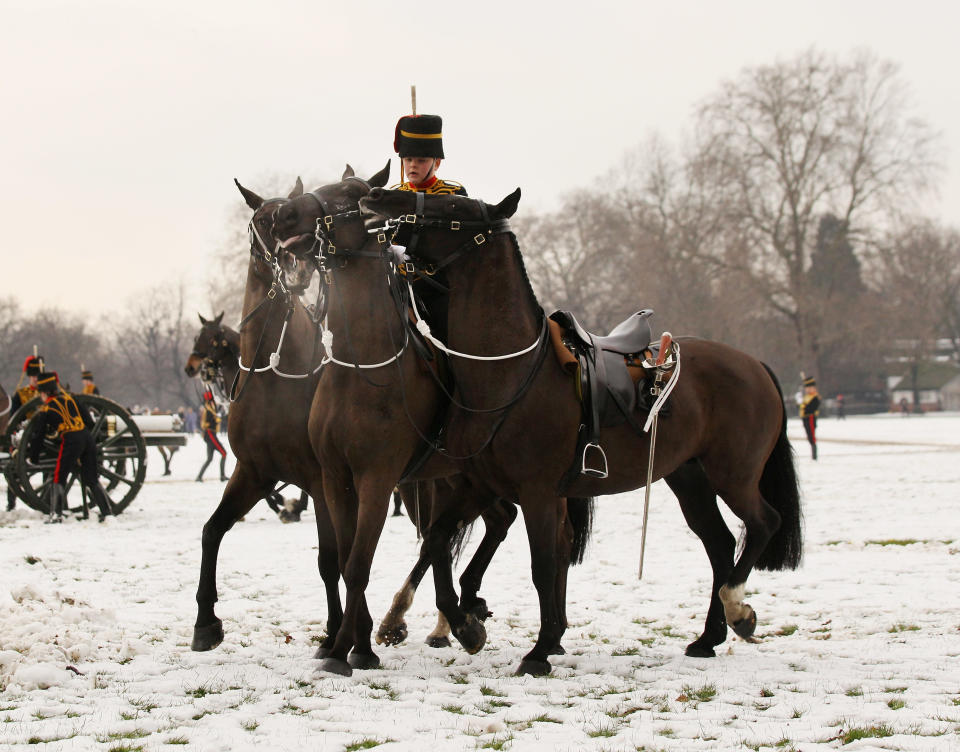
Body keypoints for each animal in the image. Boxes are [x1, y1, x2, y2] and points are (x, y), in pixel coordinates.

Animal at [270, 167, 592, 680]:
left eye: (349, 196)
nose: (283, 213)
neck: (361, 367)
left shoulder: (377, 479)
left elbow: (358, 563)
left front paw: (348, 651)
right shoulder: (336, 478)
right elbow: (346, 560)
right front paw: (354, 642)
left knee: (540, 538)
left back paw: (526, 631)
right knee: (483, 530)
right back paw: (465, 617)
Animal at [360, 187, 804, 676]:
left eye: (453, 209)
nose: (379, 195)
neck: (508, 370)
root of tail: (753, 363)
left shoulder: (537, 492)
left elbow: (541, 565)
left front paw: (538, 649)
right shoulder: (478, 486)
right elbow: (440, 540)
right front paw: (466, 623)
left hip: (733, 474)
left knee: (762, 523)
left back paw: (737, 608)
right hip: (689, 477)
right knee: (721, 543)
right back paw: (709, 636)